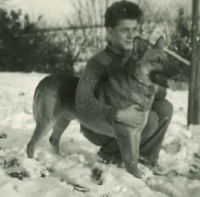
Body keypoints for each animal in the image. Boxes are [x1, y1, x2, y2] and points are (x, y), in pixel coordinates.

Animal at [26, 36, 180, 179]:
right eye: (157, 61)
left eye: (167, 59)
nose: (179, 72)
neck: (136, 84)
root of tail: (44, 80)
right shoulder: (125, 135)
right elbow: (131, 162)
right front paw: (136, 179)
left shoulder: (136, 135)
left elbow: (135, 158)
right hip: (47, 122)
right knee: (31, 145)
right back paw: (33, 166)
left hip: (63, 121)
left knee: (53, 140)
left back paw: (62, 159)